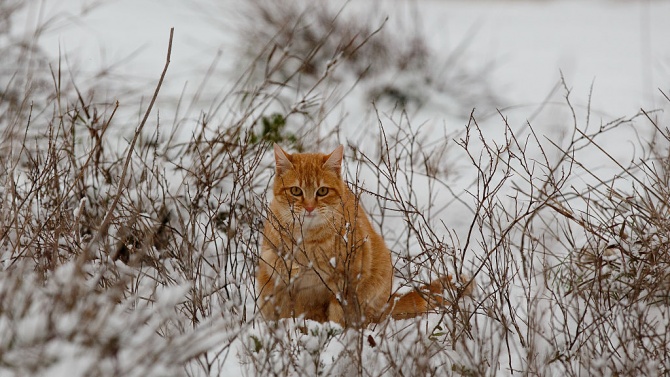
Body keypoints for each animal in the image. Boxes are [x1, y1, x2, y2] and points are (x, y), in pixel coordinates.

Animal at [258, 144, 472, 326]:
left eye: (322, 191)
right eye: (295, 191)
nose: (309, 208)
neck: (308, 239)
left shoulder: (346, 279)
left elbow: (339, 313)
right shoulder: (268, 252)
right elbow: (274, 260)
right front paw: (291, 266)